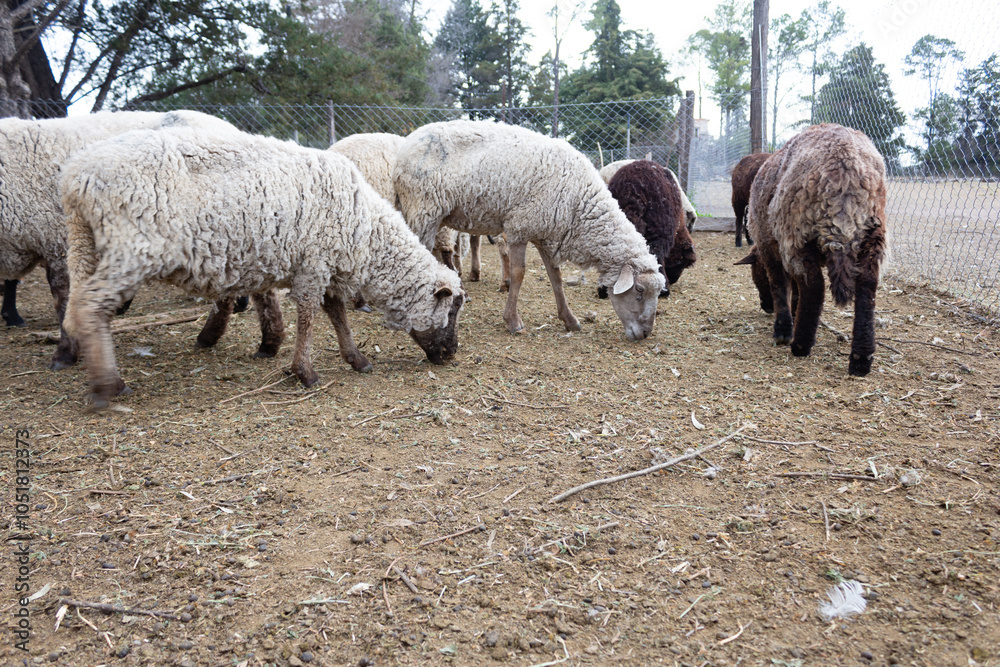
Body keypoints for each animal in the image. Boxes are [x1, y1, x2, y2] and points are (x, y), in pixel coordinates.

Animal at [61, 126, 466, 408]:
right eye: (450, 310)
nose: (450, 355)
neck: (364, 231)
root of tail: (76, 177)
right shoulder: (314, 262)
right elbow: (310, 316)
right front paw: (305, 372)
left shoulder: (323, 263)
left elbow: (335, 312)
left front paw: (356, 358)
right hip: (132, 247)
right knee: (92, 307)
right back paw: (106, 386)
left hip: (85, 245)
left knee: (80, 307)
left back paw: (99, 371)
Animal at [394, 119, 665, 341]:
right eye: (639, 290)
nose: (645, 334)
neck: (580, 205)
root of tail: (405, 146)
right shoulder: (520, 227)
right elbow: (518, 273)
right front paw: (513, 322)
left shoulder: (545, 233)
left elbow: (556, 277)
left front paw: (570, 320)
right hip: (423, 209)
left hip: (435, 215)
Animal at [747, 123, 887, 376]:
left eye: (756, 275)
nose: (765, 307)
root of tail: (846, 164)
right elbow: (794, 286)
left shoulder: (769, 246)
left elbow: (780, 284)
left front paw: (783, 328)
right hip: (873, 233)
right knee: (867, 287)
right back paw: (861, 358)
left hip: (797, 230)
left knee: (814, 286)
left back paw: (800, 345)